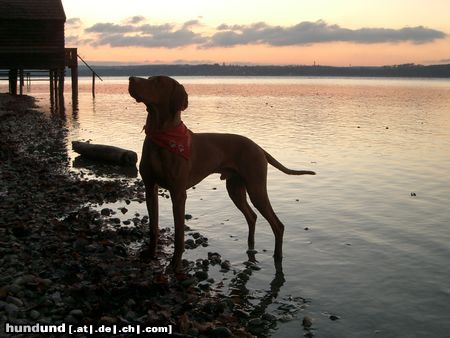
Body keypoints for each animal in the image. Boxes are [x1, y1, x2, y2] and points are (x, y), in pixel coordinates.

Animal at [128, 75, 314, 270]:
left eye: (157, 82)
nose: (131, 79)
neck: (161, 136)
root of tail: (258, 147)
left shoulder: (178, 193)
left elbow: (179, 234)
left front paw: (175, 265)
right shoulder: (150, 188)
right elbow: (153, 228)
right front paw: (149, 255)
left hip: (256, 188)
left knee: (277, 225)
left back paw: (277, 257)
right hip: (235, 188)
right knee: (252, 216)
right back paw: (251, 246)